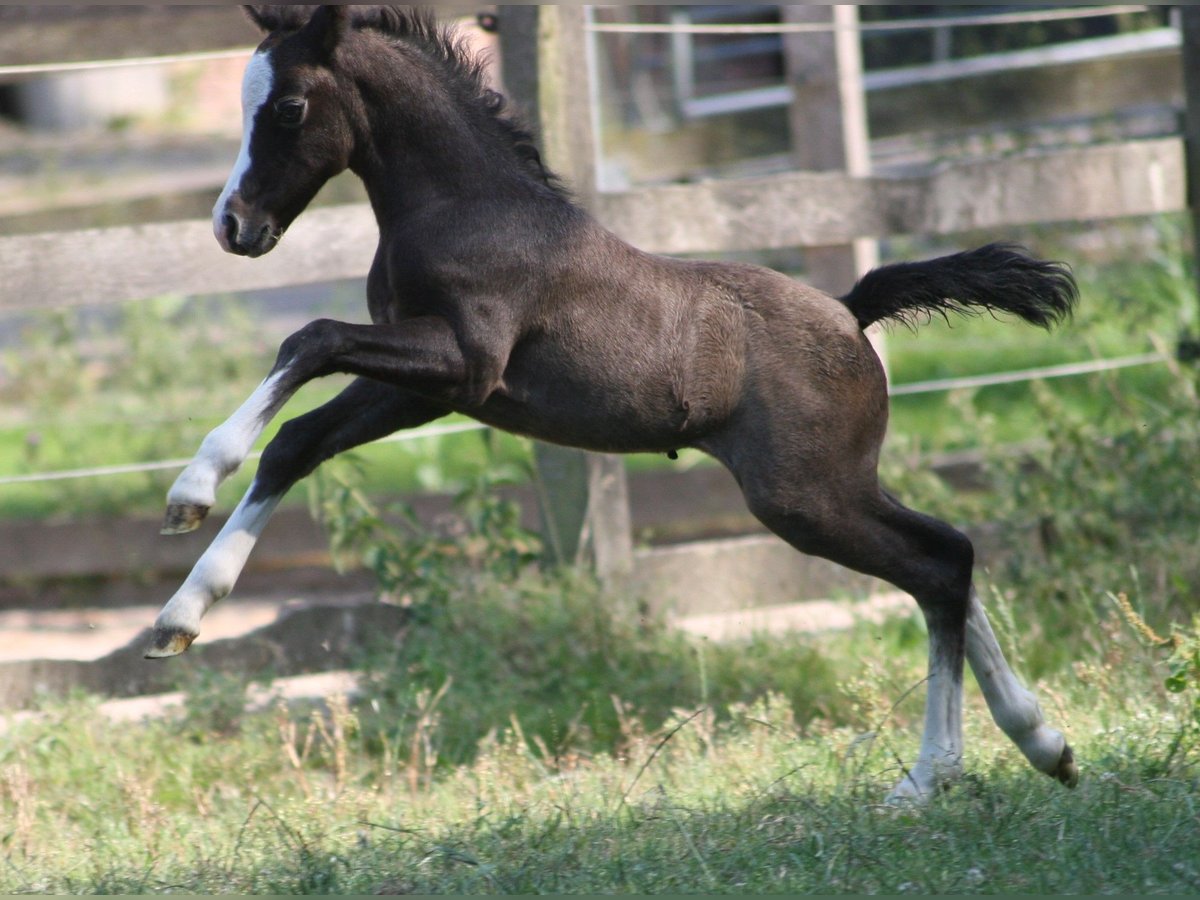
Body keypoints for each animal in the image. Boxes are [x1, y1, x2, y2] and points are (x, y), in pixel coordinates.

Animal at [147, 5, 1080, 796]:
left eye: (290, 106)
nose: (233, 226)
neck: (467, 207)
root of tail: (852, 310)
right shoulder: (427, 393)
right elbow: (296, 439)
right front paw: (182, 611)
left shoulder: (462, 362)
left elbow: (306, 338)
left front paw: (190, 490)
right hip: (840, 485)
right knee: (950, 557)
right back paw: (1044, 744)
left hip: (805, 497)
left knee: (937, 566)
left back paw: (933, 775)